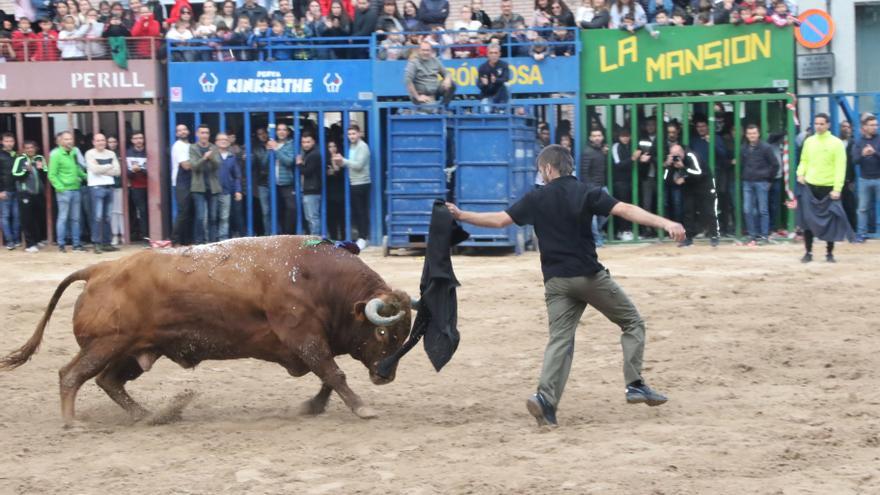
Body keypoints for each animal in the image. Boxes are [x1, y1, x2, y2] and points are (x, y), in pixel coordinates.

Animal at [0, 236, 416, 426]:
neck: (315, 275)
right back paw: (73, 422)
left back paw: (149, 414)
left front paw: (312, 406)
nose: (385, 376)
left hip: (136, 350)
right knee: (71, 375)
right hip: (105, 344)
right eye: (385, 334)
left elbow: (327, 378)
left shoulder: (312, 343)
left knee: (108, 381)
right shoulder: (305, 338)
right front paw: (363, 408)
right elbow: (334, 372)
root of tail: (99, 271)